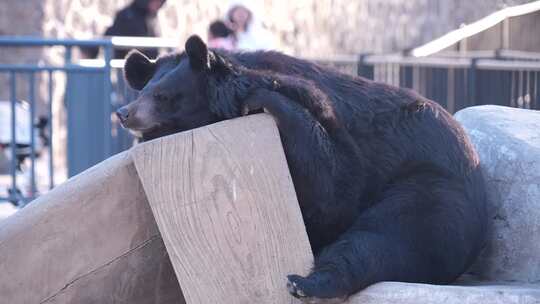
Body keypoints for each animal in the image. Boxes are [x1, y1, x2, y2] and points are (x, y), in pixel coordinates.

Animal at [118, 35, 490, 302]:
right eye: (143, 90)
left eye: (163, 95)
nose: (124, 113)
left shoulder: (346, 137)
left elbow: (334, 187)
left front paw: (263, 100)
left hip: (432, 190)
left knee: (385, 235)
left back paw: (306, 284)